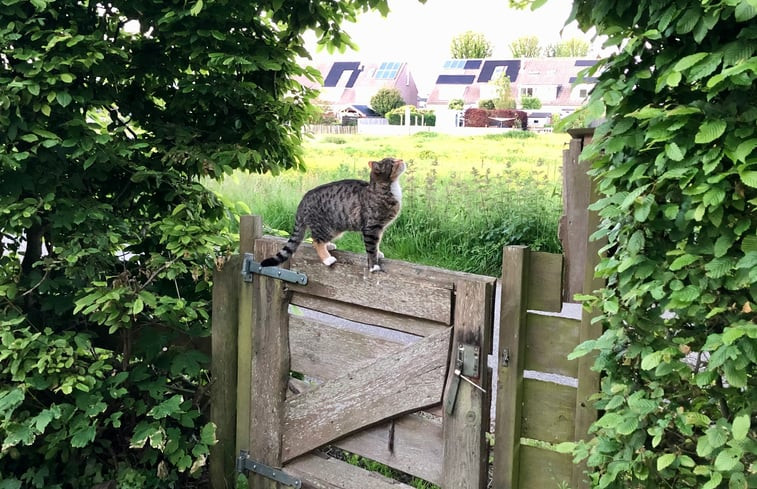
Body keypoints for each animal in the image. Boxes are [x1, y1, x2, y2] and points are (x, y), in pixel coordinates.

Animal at [258, 156, 404, 270]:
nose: (401, 159)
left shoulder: (379, 229)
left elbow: (377, 244)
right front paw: (374, 266)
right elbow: (371, 248)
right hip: (326, 227)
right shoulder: (371, 227)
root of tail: (303, 200)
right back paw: (327, 259)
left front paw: (379, 253)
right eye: (392, 162)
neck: (385, 188)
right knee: (316, 241)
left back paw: (329, 245)